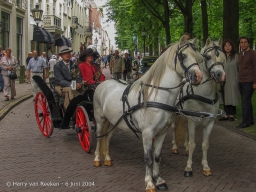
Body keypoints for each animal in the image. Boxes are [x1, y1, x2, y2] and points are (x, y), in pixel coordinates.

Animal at [92, 36, 204, 192]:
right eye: (183, 55)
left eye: (198, 57)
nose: (198, 76)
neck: (156, 96)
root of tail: (103, 83)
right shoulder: (147, 133)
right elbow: (148, 158)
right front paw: (150, 183)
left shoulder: (162, 132)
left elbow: (157, 157)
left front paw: (159, 180)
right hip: (100, 119)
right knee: (98, 138)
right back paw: (97, 159)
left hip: (113, 121)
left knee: (107, 138)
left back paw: (107, 159)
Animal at [171, 38, 225, 178]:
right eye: (208, 57)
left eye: (224, 57)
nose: (220, 74)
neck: (203, 93)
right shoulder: (193, 120)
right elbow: (192, 144)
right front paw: (188, 168)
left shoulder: (209, 121)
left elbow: (205, 145)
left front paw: (206, 167)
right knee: (174, 127)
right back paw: (175, 147)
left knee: (185, 129)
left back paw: (184, 149)